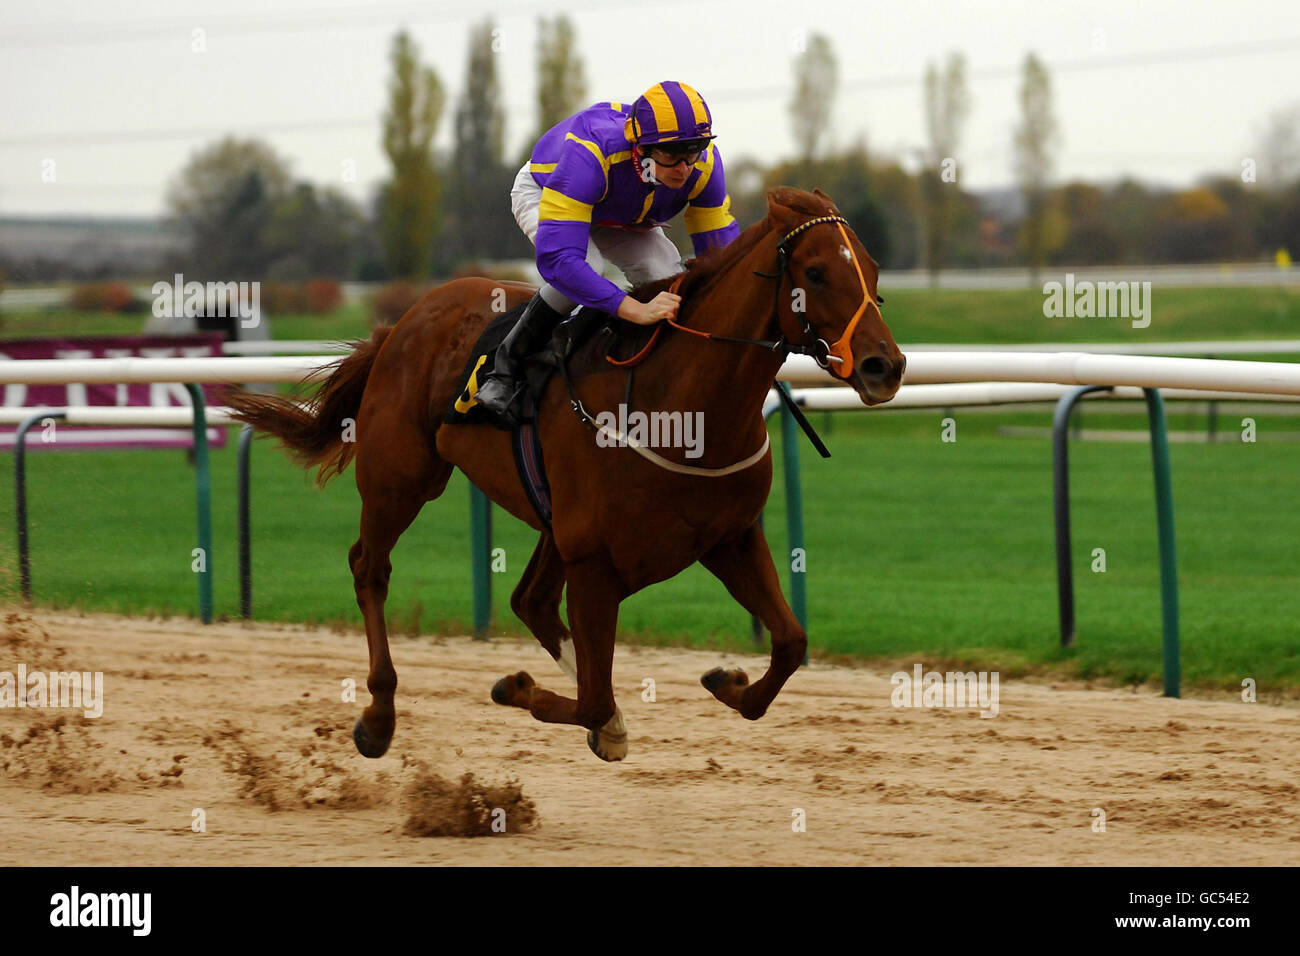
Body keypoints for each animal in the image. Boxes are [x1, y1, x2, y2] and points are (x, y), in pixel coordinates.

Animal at [226, 184, 904, 764]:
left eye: (872, 271)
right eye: (815, 273)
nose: (885, 366)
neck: (683, 409)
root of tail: (402, 322)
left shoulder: (728, 537)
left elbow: (790, 643)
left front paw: (726, 679)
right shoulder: (596, 560)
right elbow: (596, 697)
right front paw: (521, 690)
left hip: (549, 521)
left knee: (529, 599)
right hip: (402, 477)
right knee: (371, 567)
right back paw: (379, 716)